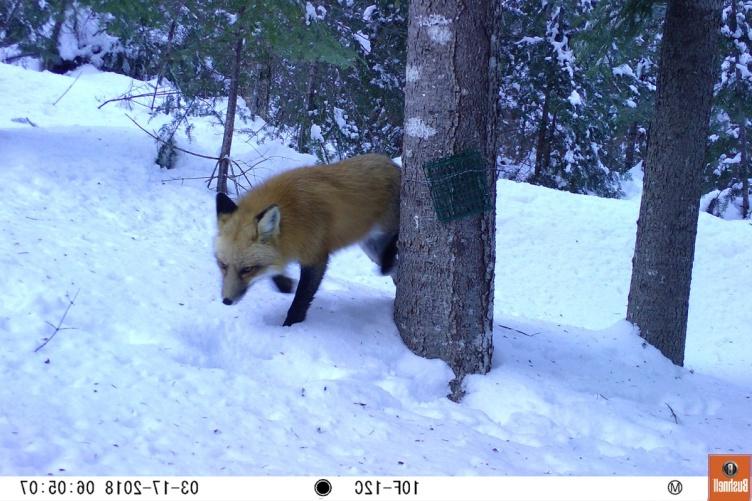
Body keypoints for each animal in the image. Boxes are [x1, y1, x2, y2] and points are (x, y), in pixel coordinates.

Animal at [213, 153, 400, 324]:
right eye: (222, 265)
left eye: (247, 269)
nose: (226, 301)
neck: (293, 214)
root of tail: (391, 163)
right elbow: (275, 269)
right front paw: (285, 284)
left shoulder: (316, 256)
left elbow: (301, 299)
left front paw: (290, 325)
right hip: (370, 248)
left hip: (383, 239)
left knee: (395, 248)